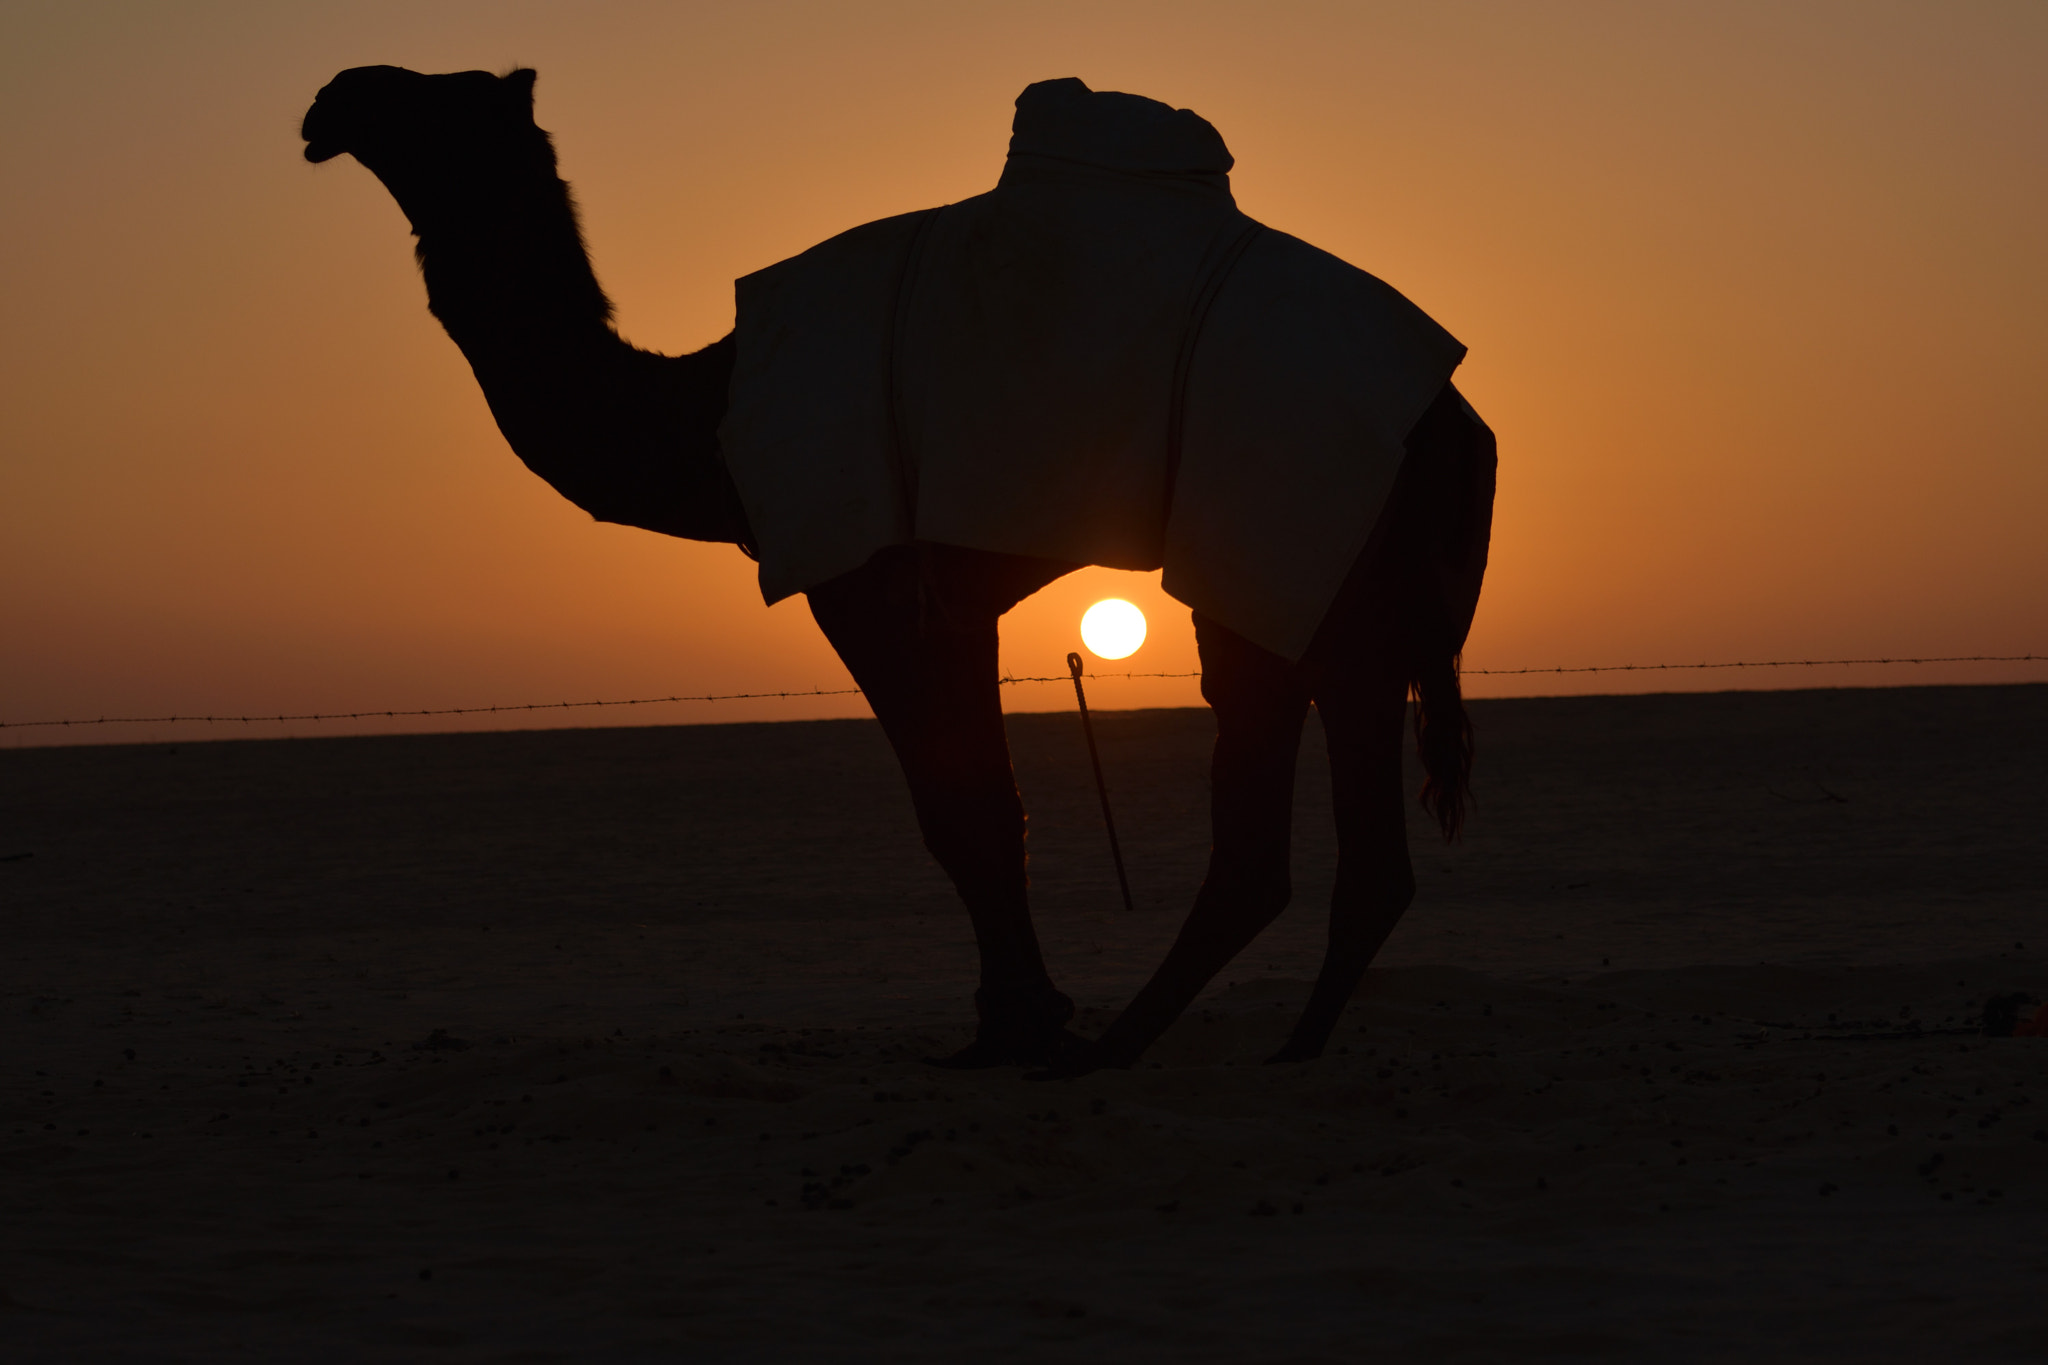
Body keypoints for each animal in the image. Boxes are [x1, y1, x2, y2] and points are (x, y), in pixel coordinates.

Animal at [300, 66, 1495, 1073]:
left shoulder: (873, 577)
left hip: (1291, 543)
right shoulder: (953, 597)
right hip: (1337, 585)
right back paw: (1267, 1042)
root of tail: (1454, 417)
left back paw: (1135, 1045)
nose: (332, 96)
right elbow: (986, 801)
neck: (707, 418)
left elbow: (959, 807)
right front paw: (1017, 1020)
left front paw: (1019, 1027)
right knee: (1344, 815)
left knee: (1274, 803)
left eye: (435, 99)